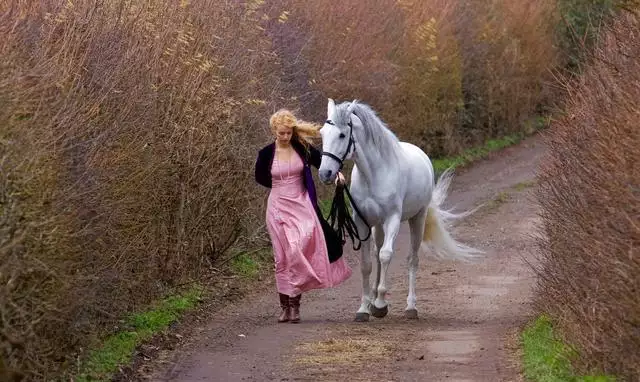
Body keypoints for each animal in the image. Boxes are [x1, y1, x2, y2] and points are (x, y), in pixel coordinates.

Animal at [318, 99, 482, 322]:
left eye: (342, 135)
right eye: (322, 133)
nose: (325, 173)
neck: (374, 174)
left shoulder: (392, 219)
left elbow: (387, 255)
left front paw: (379, 304)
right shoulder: (362, 222)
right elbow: (367, 264)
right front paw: (364, 308)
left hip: (417, 219)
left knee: (412, 259)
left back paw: (410, 307)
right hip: (378, 226)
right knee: (377, 253)